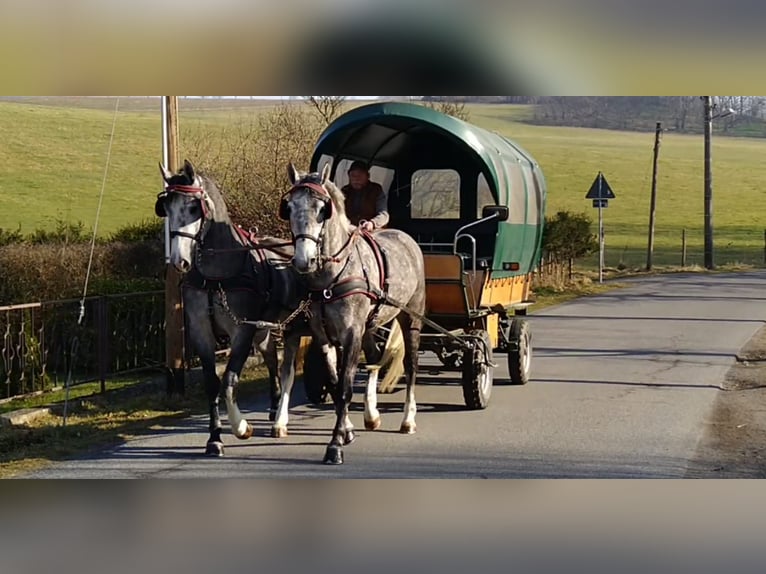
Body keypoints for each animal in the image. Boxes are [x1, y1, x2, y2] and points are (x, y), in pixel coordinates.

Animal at [156, 160, 300, 456]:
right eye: (166, 207)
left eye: (193, 207)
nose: (179, 261)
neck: (216, 276)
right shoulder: (201, 330)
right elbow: (212, 383)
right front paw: (214, 438)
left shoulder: (241, 331)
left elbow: (230, 380)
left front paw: (241, 426)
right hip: (264, 328)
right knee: (272, 358)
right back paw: (273, 406)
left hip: (290, 324)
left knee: (287, 365)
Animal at [280, 163, 428, 468]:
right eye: (288, 207)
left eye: (322, 209)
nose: (303, 260)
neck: (331, 276)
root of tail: (405, 236)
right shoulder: (323, 334)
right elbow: (335, 383)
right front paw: (347, 430)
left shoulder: (350, 333)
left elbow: (346, 387)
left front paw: (335, 444)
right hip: (370, 325)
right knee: (373, 357)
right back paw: (371, 415)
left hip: (411, 318)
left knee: (411, 366)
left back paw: (408, 419)